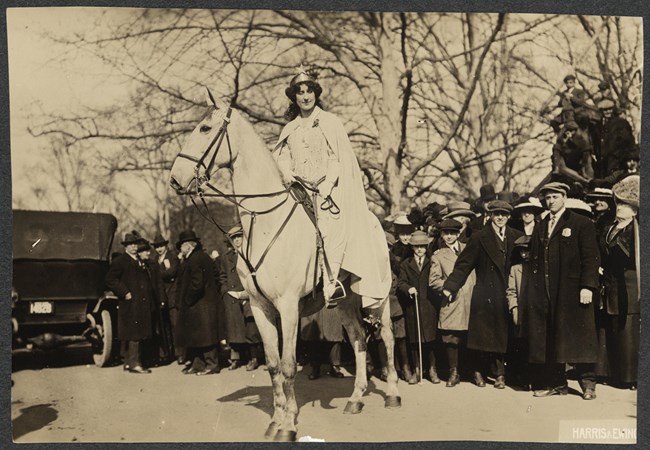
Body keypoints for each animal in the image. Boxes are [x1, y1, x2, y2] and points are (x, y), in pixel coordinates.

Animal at [170, 93, 398, 442]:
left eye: (205, 128)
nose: (175, 178)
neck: (265, 220)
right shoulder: (260, 307)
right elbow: (274, 365)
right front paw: (276, 421)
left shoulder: (288, 306)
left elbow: (290, 365)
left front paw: (289, 426)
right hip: (345, 299)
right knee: (359, 338)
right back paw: (356, 398)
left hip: (378, 295)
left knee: (386, 336)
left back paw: (394, 394)